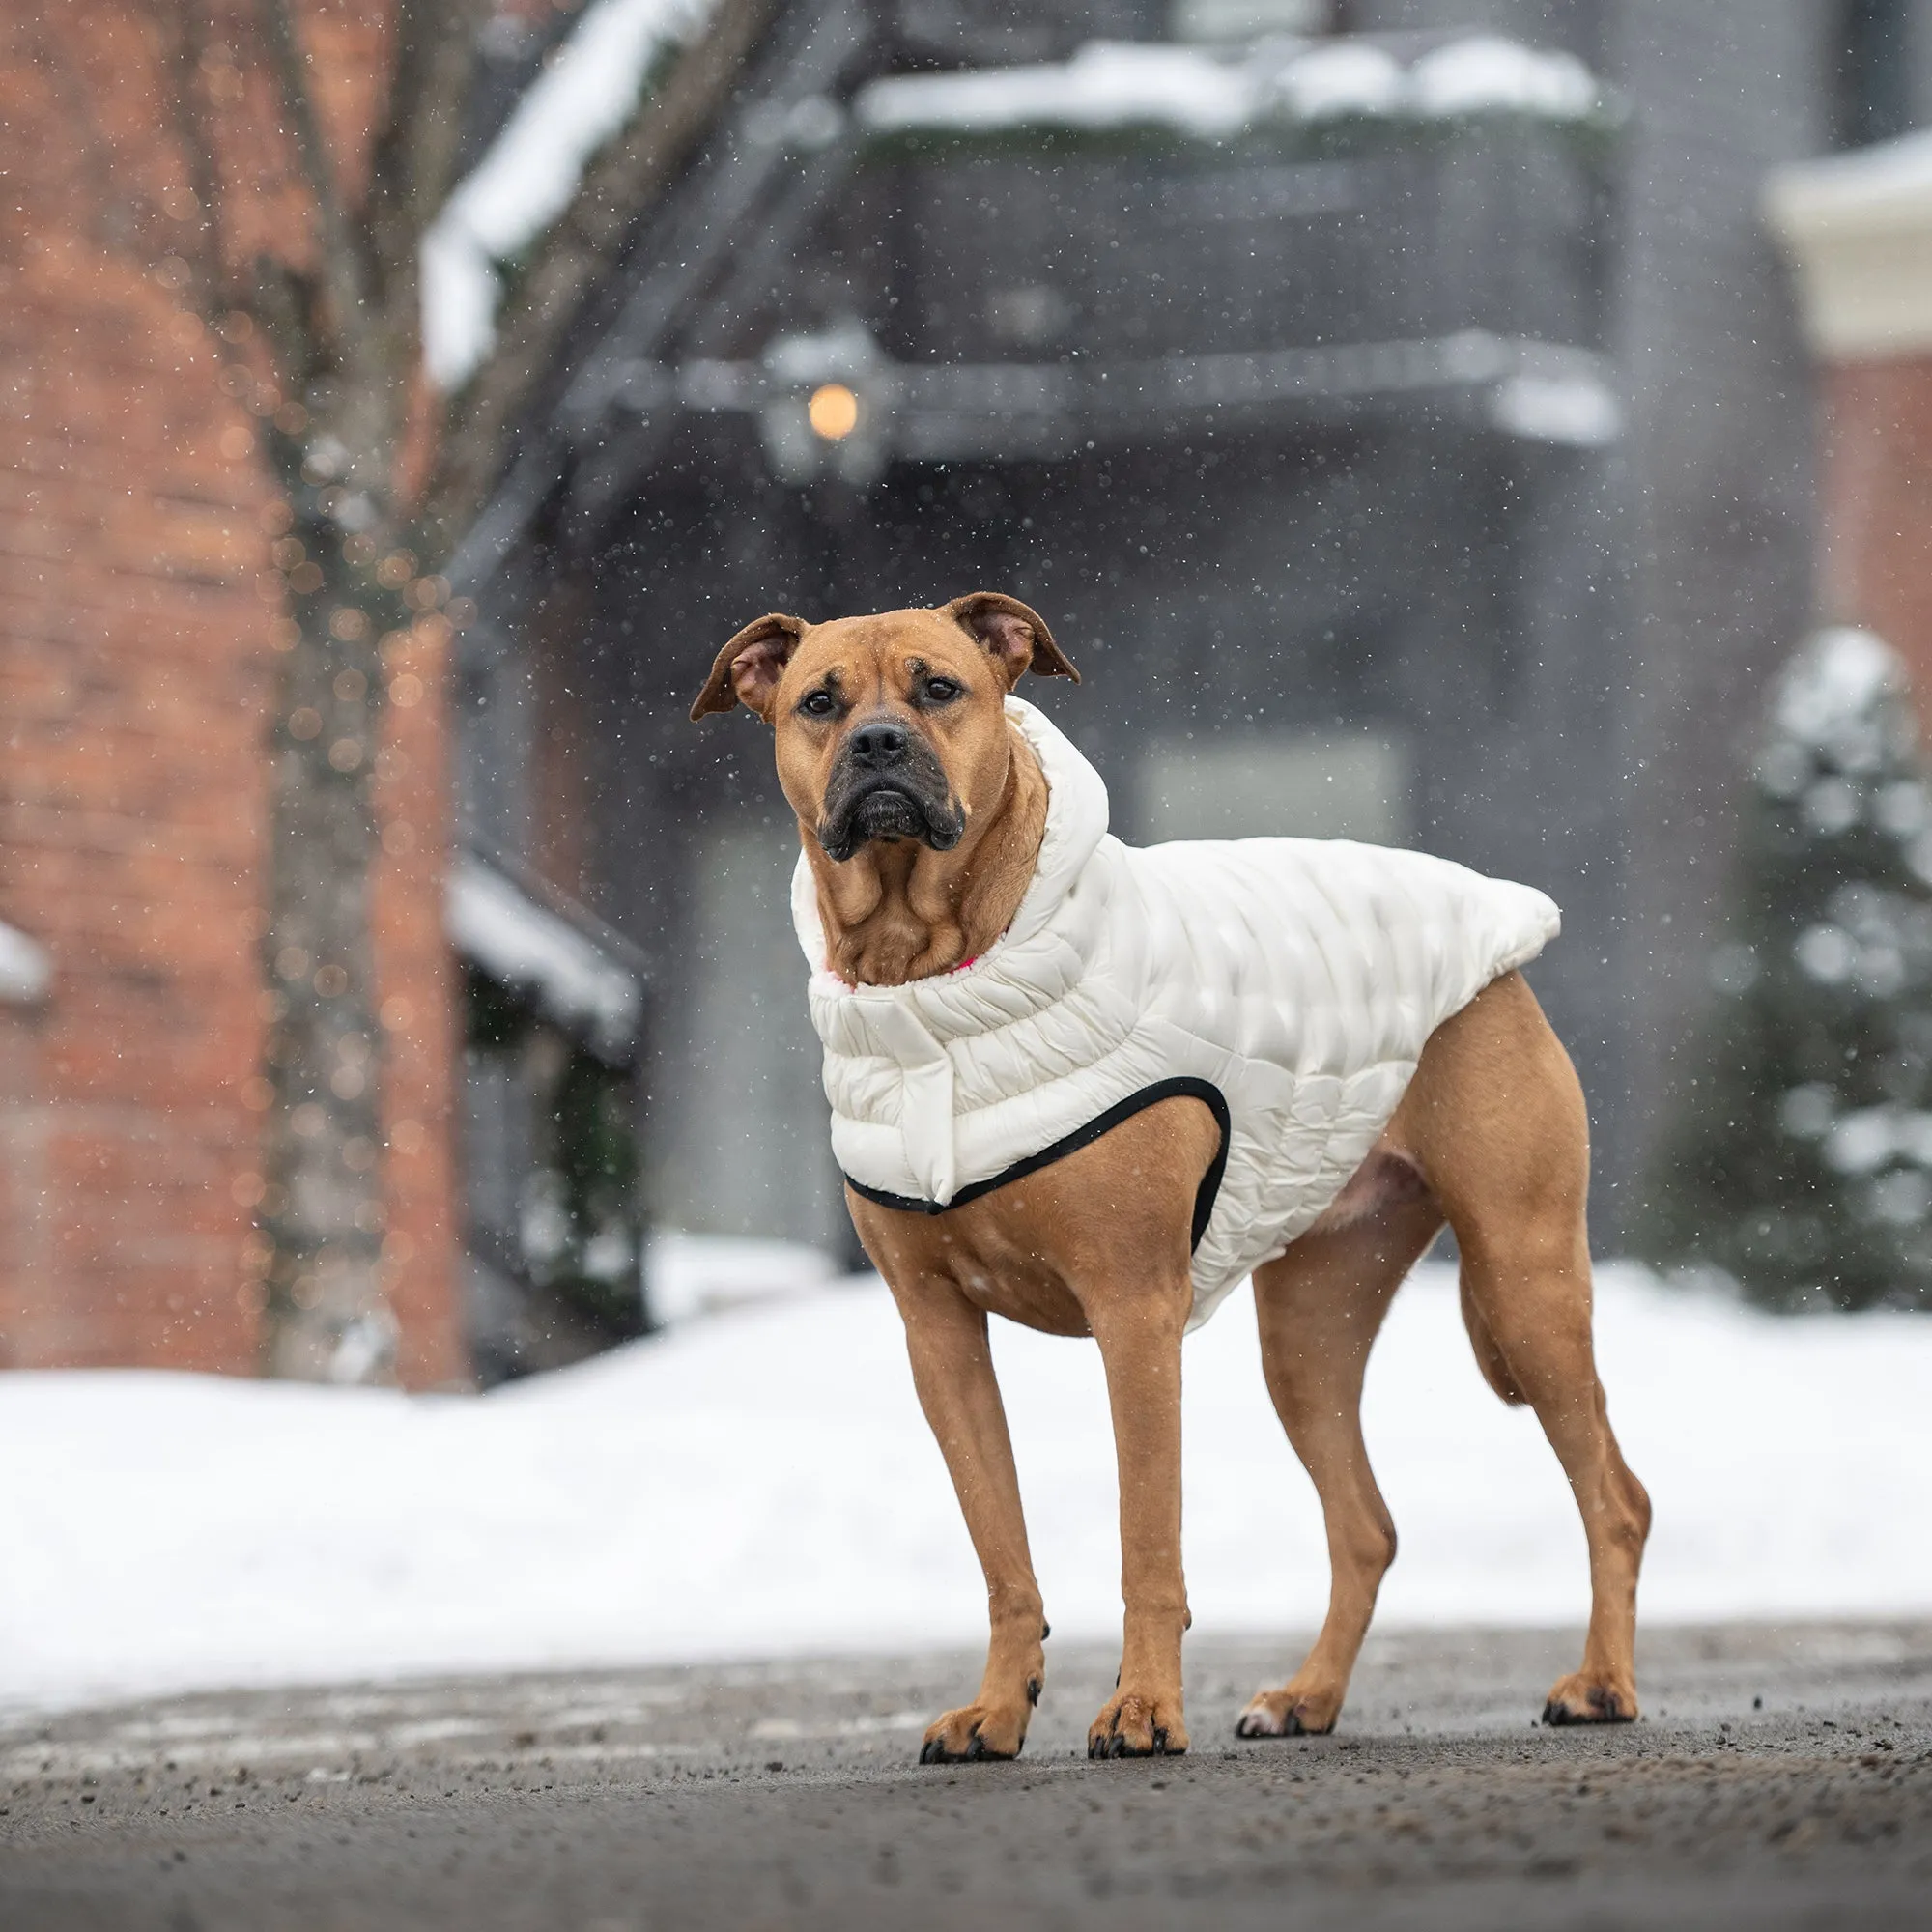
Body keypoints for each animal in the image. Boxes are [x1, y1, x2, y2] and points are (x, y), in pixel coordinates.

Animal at [688, 595, 1654, 1762]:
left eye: (939, 688)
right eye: (818, 702)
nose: (876, 745)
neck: (931, 985)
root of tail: (1490, 927)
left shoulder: (1132, 1309)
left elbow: (1145, 1532)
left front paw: (1143, 1706)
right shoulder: (937, 1334)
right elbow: (1000, 1549)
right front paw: (997, 1708)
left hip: (1524, 1275)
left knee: (1613, 1497)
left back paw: (1599, 1683)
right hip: (1309, 1328)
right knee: (1365, 1525)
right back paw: (1306, 1696)